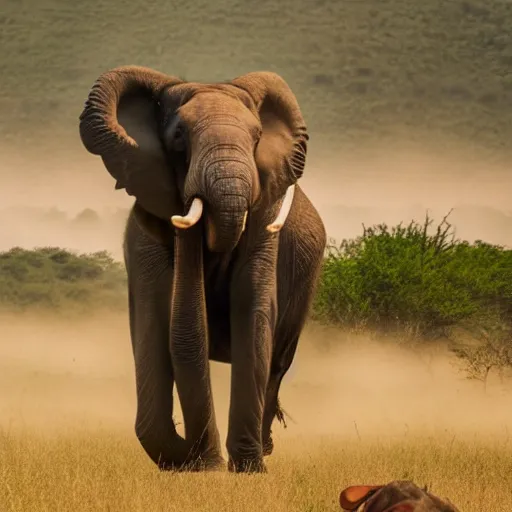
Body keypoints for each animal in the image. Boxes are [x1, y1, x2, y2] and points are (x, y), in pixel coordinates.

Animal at [78, 65, 326, 476]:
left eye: (257, 137)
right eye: (179, 136)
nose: (205, 460)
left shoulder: (265, 226)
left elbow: (252, 317)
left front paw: (245, 471)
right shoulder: (144, 244)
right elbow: (159, 328)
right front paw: (197, 466)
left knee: (277, 364)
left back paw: (264, 450)